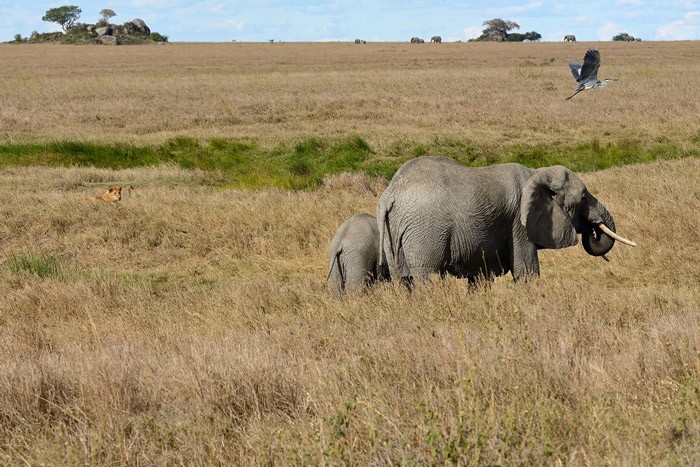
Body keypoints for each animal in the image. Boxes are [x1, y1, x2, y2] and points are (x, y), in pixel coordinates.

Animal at [378, 158, 640, 286]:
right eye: (584, 196)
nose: (593, 230)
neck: (537, 172)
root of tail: (390, 194)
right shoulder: (519, 222)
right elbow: (527, 273)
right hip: (425, 232)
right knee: (428, 278)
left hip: (396, 233)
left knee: (404, 281)